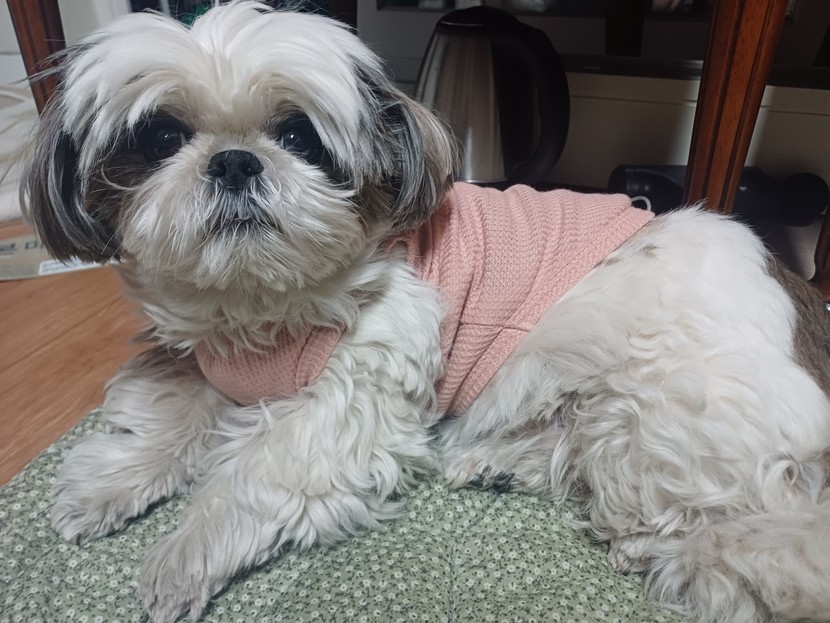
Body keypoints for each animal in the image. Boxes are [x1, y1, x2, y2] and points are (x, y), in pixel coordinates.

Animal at [22, 2, 830, 622]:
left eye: (297, 135)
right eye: (162, 138)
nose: (233, 160)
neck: (259, 303)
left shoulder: (355, 396)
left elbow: (257, 472)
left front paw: (180, 555)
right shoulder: (196, 358)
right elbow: (161, 411)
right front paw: (107, 484)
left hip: (648, 410)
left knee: (708, 527)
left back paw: (660, 548)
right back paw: (494, 461)